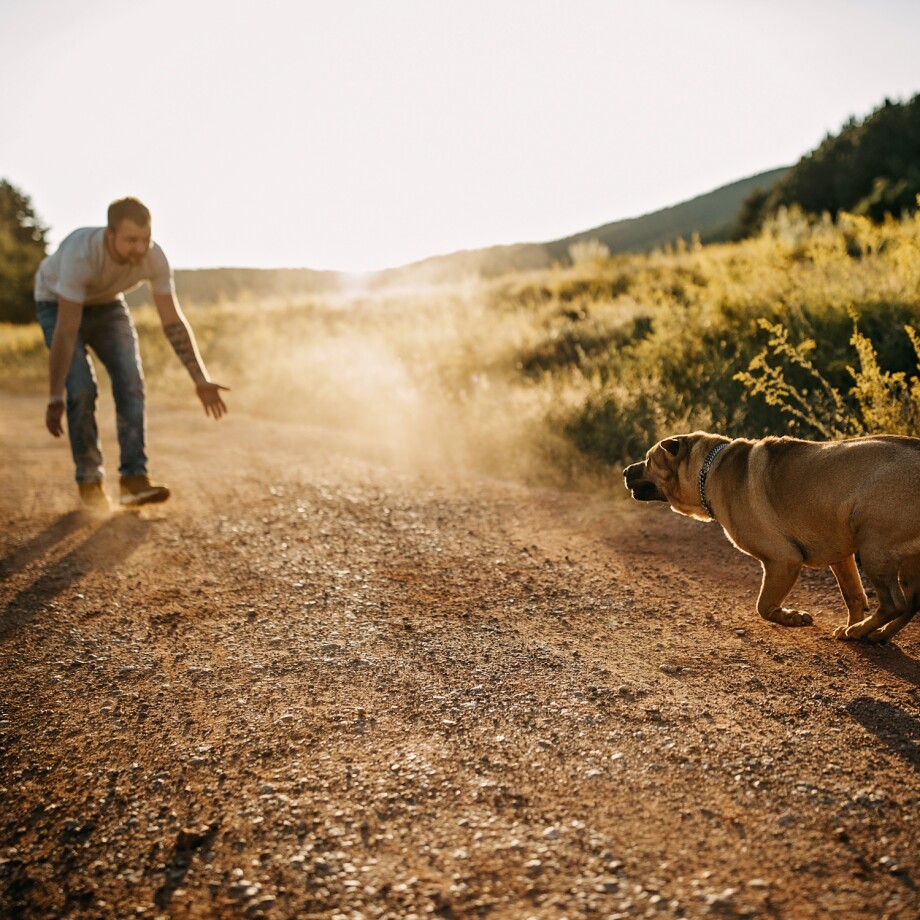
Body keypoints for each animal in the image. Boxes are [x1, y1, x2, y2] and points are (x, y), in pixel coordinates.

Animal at [620, 432, 920, 640]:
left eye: (648, 460)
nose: (624, 470)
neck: (710, 468)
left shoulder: (783, 560)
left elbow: (763, 606)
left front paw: (791, 617)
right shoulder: (841, 558)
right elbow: (854, 596)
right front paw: (851, 622)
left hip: (874, 552)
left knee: (893, 604)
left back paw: (859, 632)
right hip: (902, 564)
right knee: (910, 604)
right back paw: (875, 634)